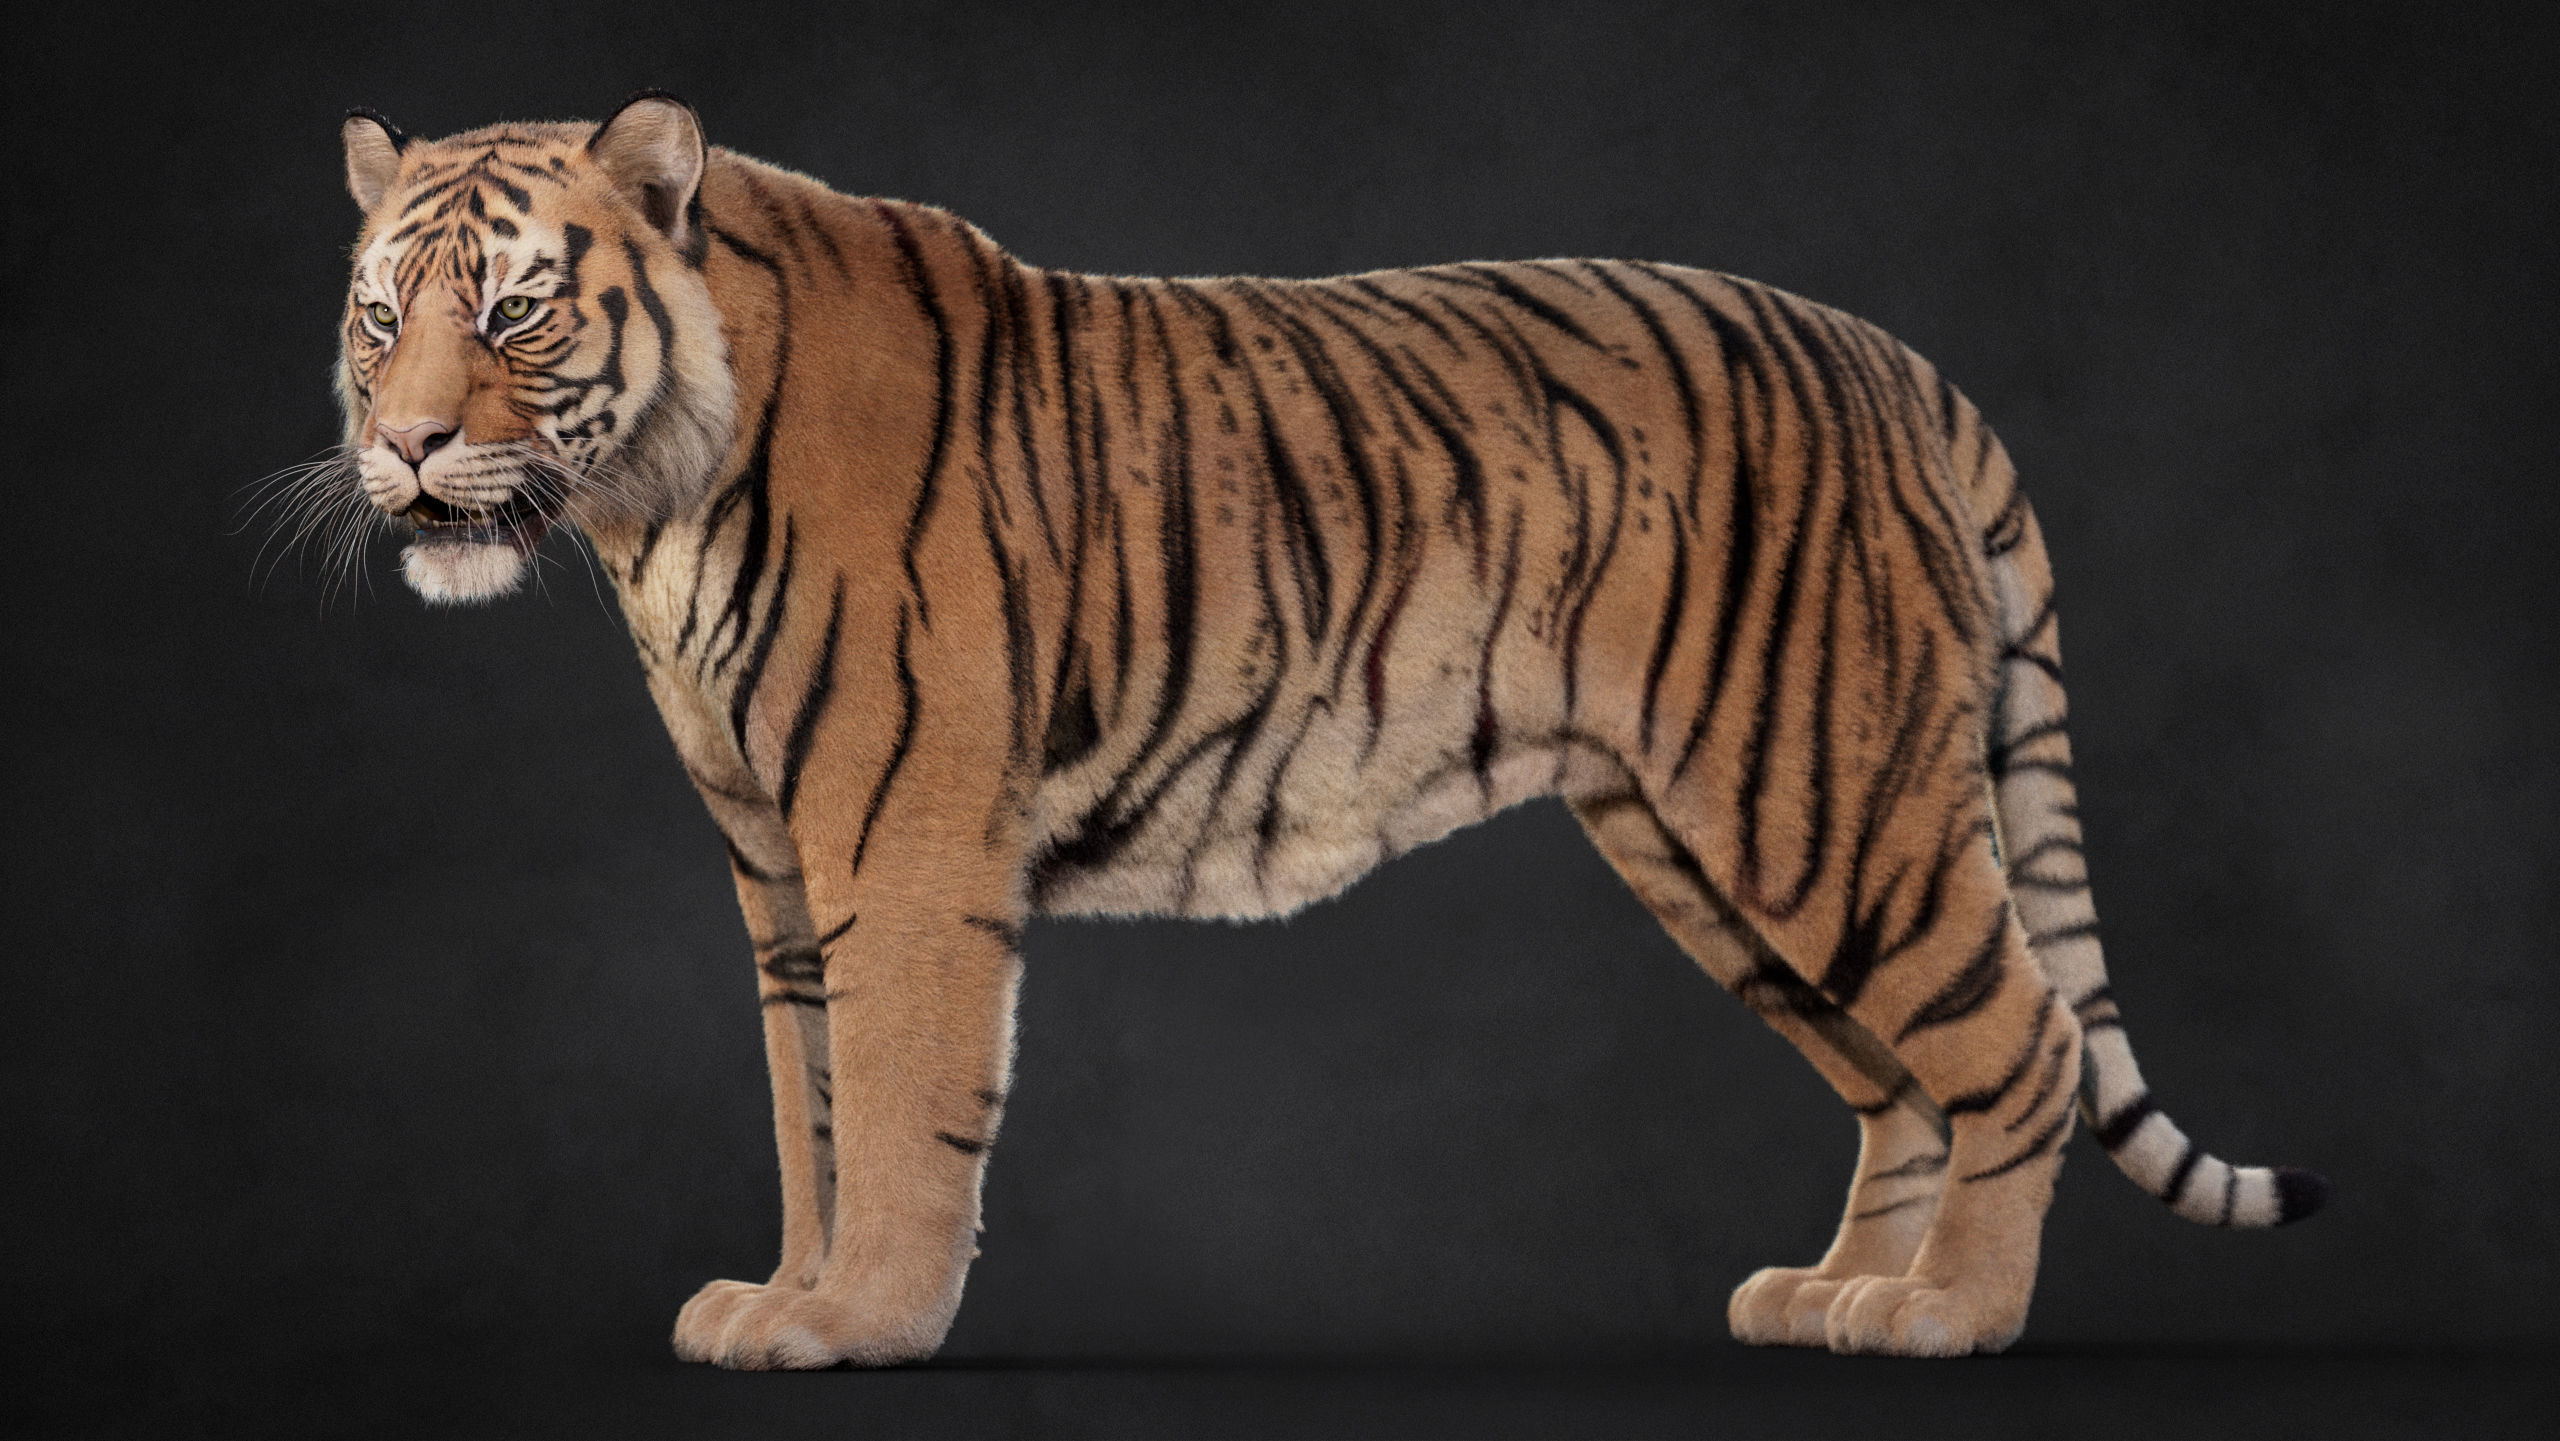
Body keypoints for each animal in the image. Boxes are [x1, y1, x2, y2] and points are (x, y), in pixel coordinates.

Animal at [319, 93, 2324, 1369]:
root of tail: (1905, 366)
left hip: (1828, 798)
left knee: (2025, 1041)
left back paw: (1947, 1317)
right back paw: (1830, 1295)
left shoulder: (901, 832)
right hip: (1709, 843)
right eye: (376, 315)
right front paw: (782, 1298)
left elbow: (890, 1102)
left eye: (515, 308)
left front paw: (862, 1323)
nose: (402, 446)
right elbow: (804, 1104)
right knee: (1900, 1078)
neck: (651, 509)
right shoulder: (773, 860)